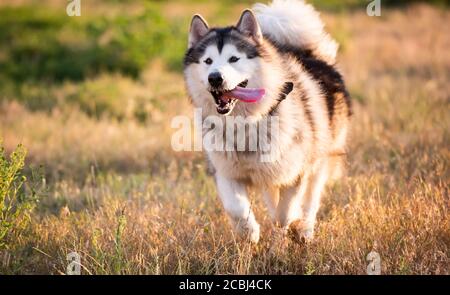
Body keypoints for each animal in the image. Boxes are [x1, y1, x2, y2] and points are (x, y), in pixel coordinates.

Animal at [183, 0, 352, 244]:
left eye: (234, 59)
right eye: (208, 61)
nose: (214, 77)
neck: (245, 122)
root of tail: (308, 54)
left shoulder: (297, 170)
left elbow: (286, 211)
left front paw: (291, 223)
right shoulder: (226, 171)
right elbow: (237, 208)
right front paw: (249, 233)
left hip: (320, 158)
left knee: (310, 199)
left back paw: (305, 230)